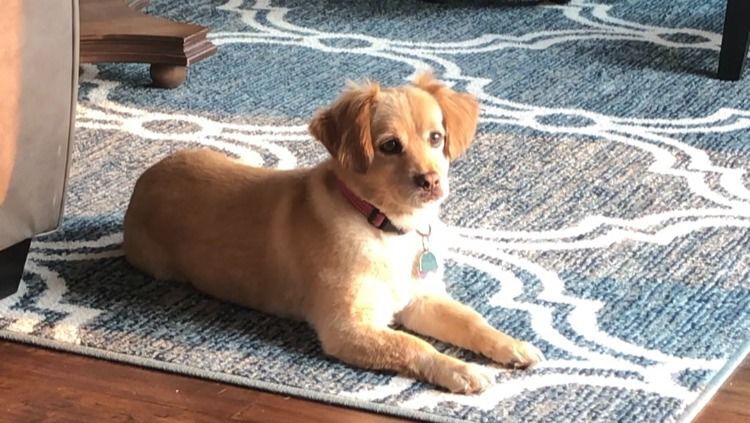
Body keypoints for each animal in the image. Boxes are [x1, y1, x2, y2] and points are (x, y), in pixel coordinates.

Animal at [125, 73, 548, 394]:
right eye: (390, 145)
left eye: (436, 138)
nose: (431, 181)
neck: (386, 226)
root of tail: (144, 180)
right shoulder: (348, 327)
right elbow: (412, 344)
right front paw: (459, 369)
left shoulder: (421, 298)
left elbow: (472, 321)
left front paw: (511, 344)